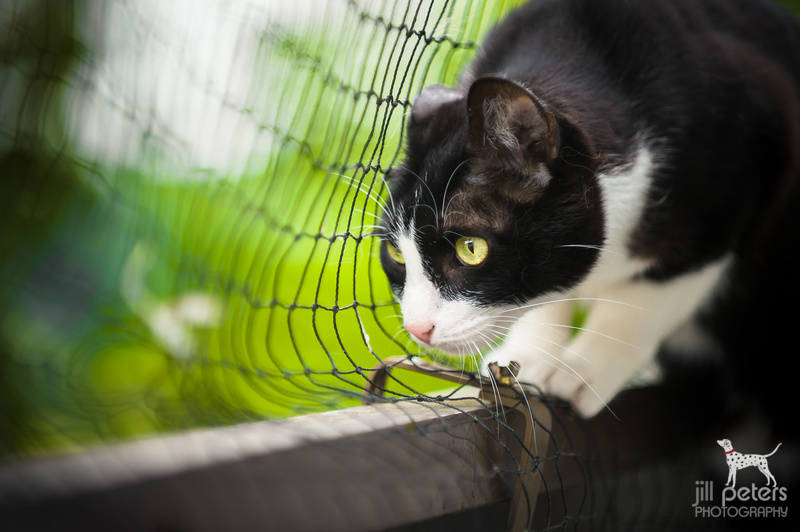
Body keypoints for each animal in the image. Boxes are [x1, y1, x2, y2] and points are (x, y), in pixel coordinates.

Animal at [378, 0, 800, 422]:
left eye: (470, 248)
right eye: (396, 253)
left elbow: (650, 294)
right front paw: (530, 359)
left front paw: (581, 373)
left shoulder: (740, 180)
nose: (416, 328)